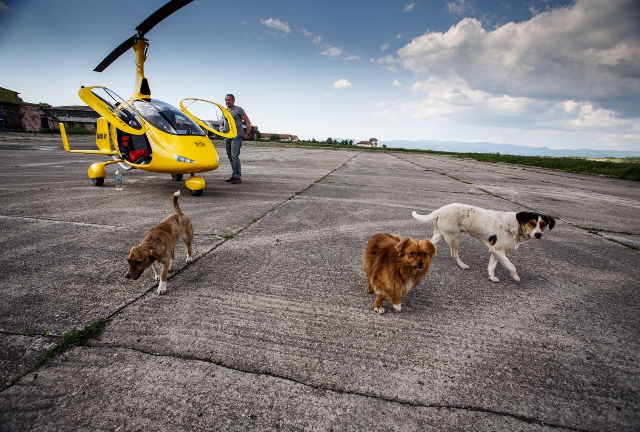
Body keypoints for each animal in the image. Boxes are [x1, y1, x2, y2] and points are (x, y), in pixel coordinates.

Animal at [412, 203, 552, 282]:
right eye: (532, 223)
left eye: (543, 224)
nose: (538, 234)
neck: (515, 226)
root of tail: (441, 209)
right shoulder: (497, 251)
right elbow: (511, 266)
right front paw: (515, 277)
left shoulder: (496, 251)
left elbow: (492, 266)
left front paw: (491, 277)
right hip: (454, 238)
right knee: (454, 254)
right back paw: (462, 265)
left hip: (441, 234)